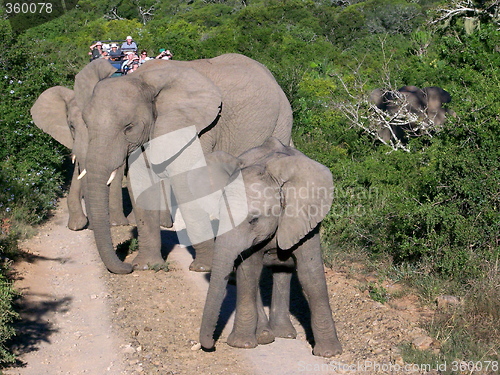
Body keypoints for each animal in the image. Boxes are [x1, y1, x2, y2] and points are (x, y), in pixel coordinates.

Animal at [74, 54, 292, 274]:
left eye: (129, 127)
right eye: (85, 123)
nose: (126, 266)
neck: (143, 80)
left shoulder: (196, 128)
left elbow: (186, 185)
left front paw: (203, 268)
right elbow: (142, 184)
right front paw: (146, 265)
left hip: (280, 121)